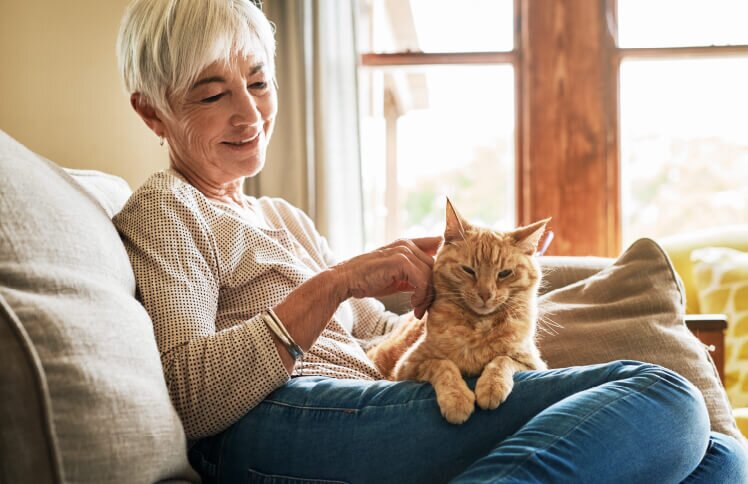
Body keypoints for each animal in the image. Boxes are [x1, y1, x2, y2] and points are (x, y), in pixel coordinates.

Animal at [366, 200, 548, 424]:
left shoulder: (533, 363)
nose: (485, 294)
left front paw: (491, 386)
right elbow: (443, 365)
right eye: (468, 270)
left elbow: (502, 360)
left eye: (504, 273)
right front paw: (457, 399)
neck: (478, 327)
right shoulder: (407, 367)